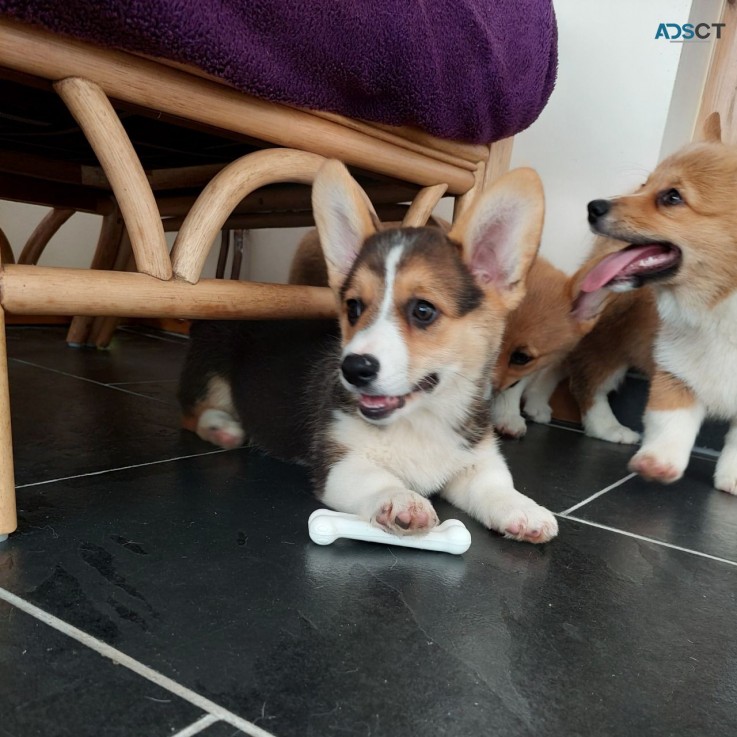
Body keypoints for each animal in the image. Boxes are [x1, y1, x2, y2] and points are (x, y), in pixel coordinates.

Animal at [178, 161, 556, 540]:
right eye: (354, 307)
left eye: (423, 310)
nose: (353, 368)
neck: (422, 421)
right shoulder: (340, 461)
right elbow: (378, 479)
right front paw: (402, 500)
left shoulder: (477, 458)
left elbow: (495, 485)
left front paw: (525, 511)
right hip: (212, 372)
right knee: (191, 412)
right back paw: (223, 428)